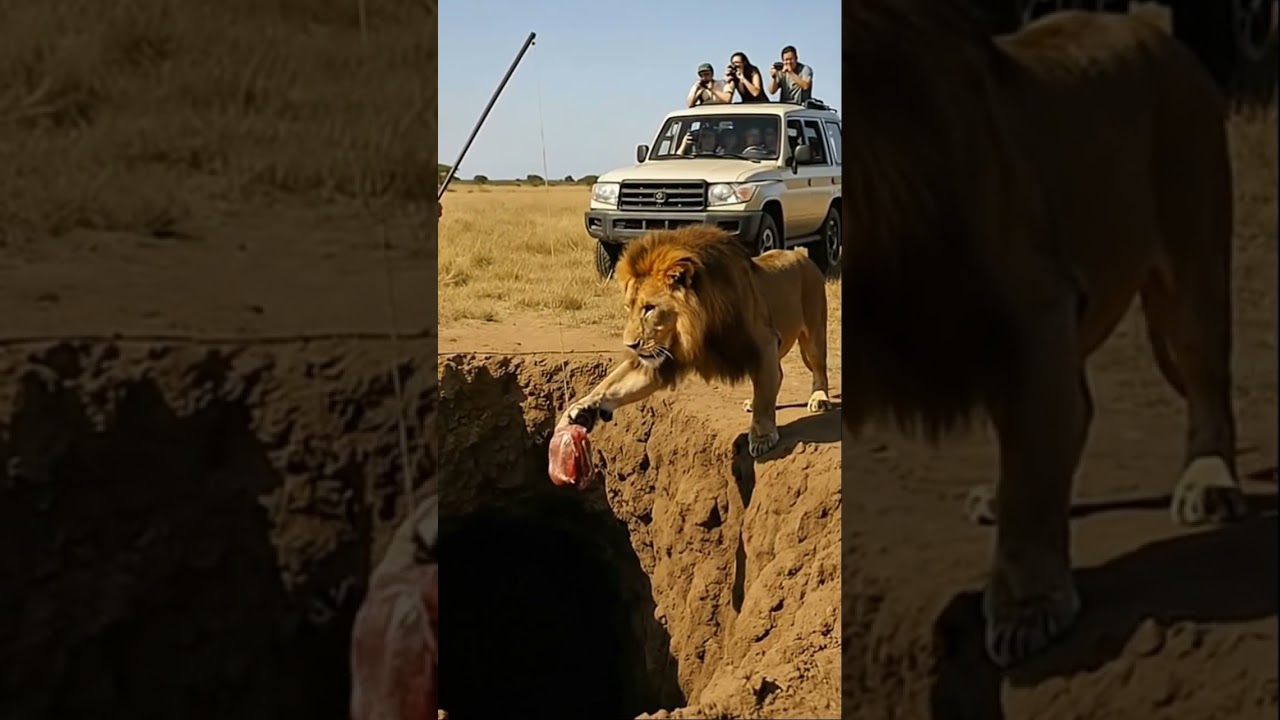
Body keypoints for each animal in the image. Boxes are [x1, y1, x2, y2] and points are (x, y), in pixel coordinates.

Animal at [556, 225, 831, 458]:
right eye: (628, 308)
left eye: (649, 308)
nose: (630, 345)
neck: (695, 330)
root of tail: (804, 258)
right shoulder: (663, 358)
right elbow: (613, 384)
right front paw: (580, 409)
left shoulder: (763, 343)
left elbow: (765, 395)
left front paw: (762, 436)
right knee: (779, 375)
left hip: (813, 335)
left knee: (818, 368)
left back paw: (819, 398)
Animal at [841, 3, 1244, 669]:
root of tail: (1156, 32)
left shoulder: (1035, 308)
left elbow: (1032, 473)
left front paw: (1026, 607)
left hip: (1193, 260)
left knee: (1207, 381)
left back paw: (1209, 482)